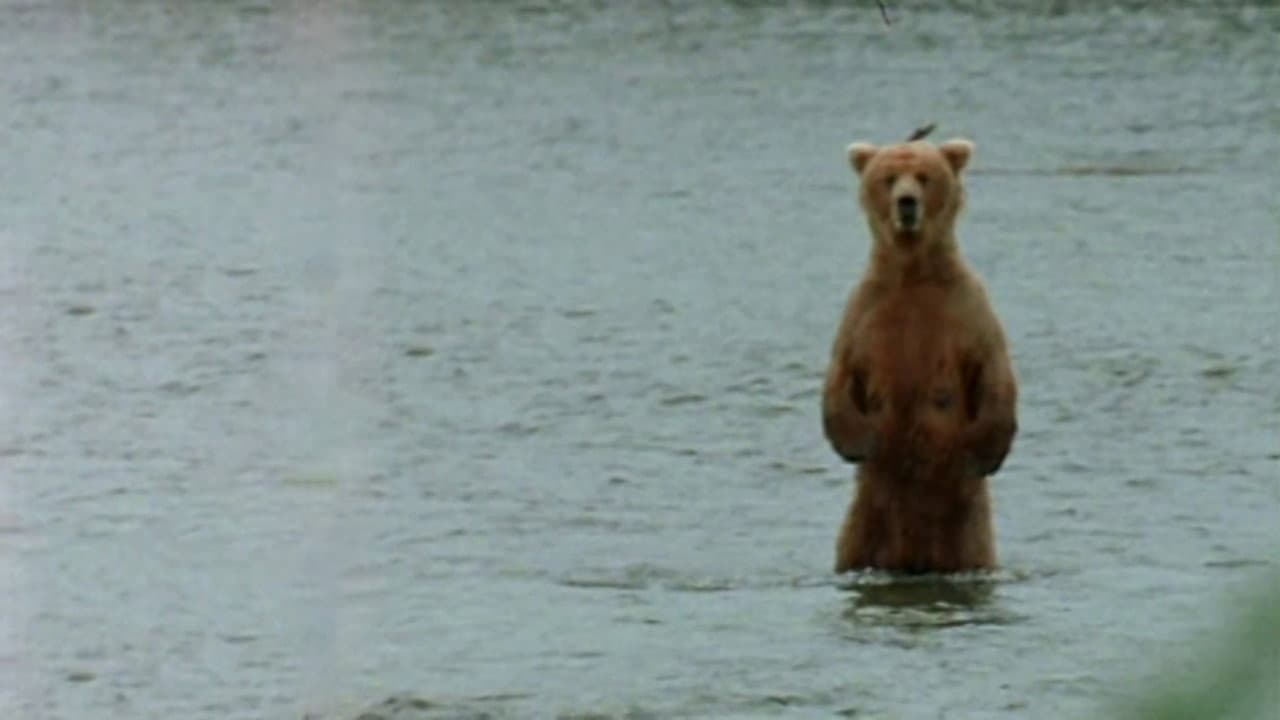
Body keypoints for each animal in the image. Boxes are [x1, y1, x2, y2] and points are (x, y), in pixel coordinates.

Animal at [821, 136, 1019, 574]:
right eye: (889, 177)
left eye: (924, 176)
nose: (906, 202)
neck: (912, 273)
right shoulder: (865, 312)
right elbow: (840, 373)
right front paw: (856, 441)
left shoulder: (966, 310)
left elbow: (994, 372)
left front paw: (986, 453)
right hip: (861, 527)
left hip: (969, 533)